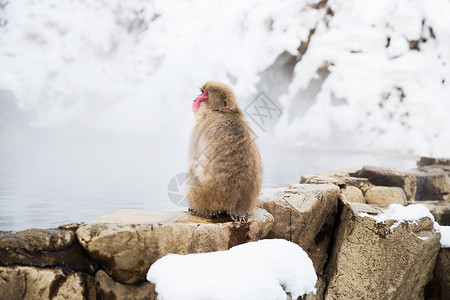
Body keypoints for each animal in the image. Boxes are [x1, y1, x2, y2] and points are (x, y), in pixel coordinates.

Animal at [186, 81, 264, 220]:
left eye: (205, 95)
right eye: (202, 93)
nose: (195, 99)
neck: (223, 111)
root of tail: (236, 208)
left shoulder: (199, 127)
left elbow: (194, 160)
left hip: (204, 197)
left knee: (191, 177)